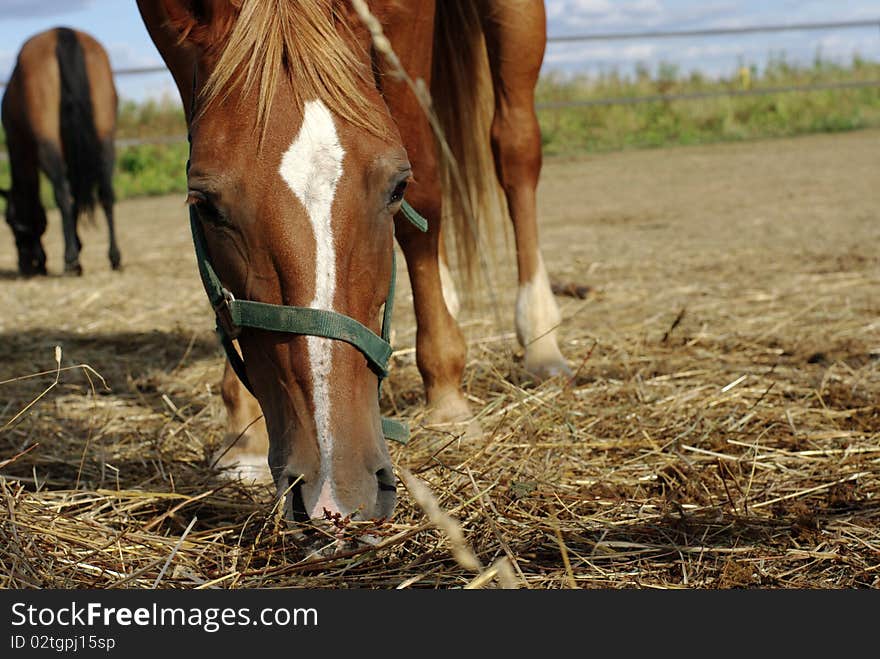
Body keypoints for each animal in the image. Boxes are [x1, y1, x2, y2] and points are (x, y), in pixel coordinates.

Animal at [0, 27, 121, 276]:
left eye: (10, 222)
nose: (24, 265)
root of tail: (63, 33)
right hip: (105, 139)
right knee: (106, 192)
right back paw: (114, 257)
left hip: (49, 145)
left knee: (62, 193)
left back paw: (70, 260)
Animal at [134, 1, 568, 524]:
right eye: (205, 205)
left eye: (397, 186)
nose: (335, 495)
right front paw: (244, 434)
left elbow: (427, 179)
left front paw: (447, 395)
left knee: (515, 145)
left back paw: (540, 337)